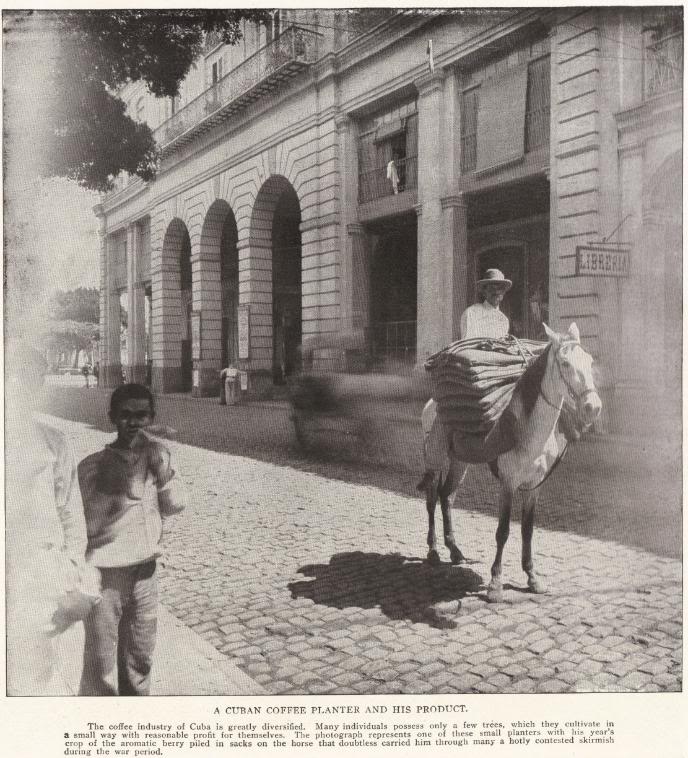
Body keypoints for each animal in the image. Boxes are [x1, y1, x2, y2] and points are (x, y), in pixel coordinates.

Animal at [420, 324, 600, 604]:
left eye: (590, 361)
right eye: (565, 363)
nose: (594, 407)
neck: (528, 431)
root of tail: (433, 403)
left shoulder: (534, 487)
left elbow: (527, 531)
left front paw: (532, 578)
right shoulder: (507, 483)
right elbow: (503, 531)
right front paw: (495, 584)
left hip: (460, 462)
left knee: (446, 496)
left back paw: (455, 550)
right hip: (435, 458)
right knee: (431, 499)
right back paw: (434, 551)